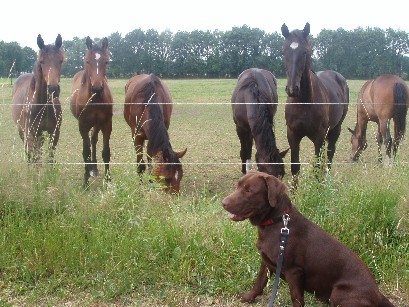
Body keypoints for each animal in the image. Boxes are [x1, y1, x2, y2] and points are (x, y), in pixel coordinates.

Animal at [11, 33, 64, 164]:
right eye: (41, 61)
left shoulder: (54, 132)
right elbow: (35, 160)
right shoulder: (31, 133)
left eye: (61, 60)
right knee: (30, 154)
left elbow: (50, 158)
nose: (53, 89)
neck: (41, 104)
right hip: (22, 132)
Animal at [69, 37, 112, 189]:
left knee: (93, 139)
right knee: (89, 142)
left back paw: (94, 168)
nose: (97, 89)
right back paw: (90, 170)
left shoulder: (106, 124)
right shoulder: (83, 125)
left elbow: (106, 152)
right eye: (87, 61)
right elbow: (85, 152)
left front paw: (108, 180)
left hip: (97, 124)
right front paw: (85, 181)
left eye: (106, 61)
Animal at [222, 172, 394, 306]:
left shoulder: (293, 271)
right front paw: (248, 298)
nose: (223, 203)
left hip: (338, 293)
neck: (276, 221)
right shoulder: (267, 262)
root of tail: (378, 295)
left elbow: (296, 299)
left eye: (249, 190)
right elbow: (259, 282)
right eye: (238, 186)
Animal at [282, 23, 350, 183]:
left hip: (336, 128)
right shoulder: (292, 135)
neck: (304, 103)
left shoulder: (319, 136)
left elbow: (317, 167)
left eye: (305, 52)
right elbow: (295, 168)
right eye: (284, 52)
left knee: (330, 153)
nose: (292, 89)